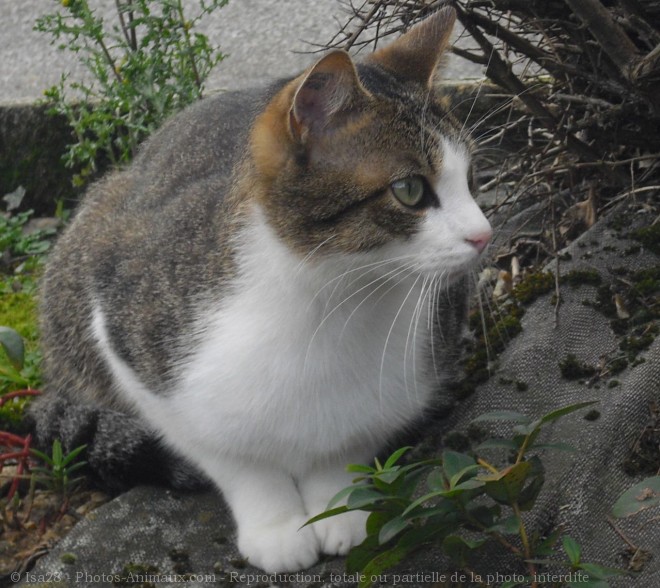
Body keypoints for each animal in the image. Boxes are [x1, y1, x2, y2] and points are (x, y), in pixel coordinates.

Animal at [32, 5, 490, 576]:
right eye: (409, 190)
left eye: (471, 179)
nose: (484, 234)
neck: (333, 302)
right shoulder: (130, 339)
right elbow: (234, 460)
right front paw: (276, 526)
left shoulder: (402, 382)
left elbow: (346, 444)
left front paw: (337, 510)